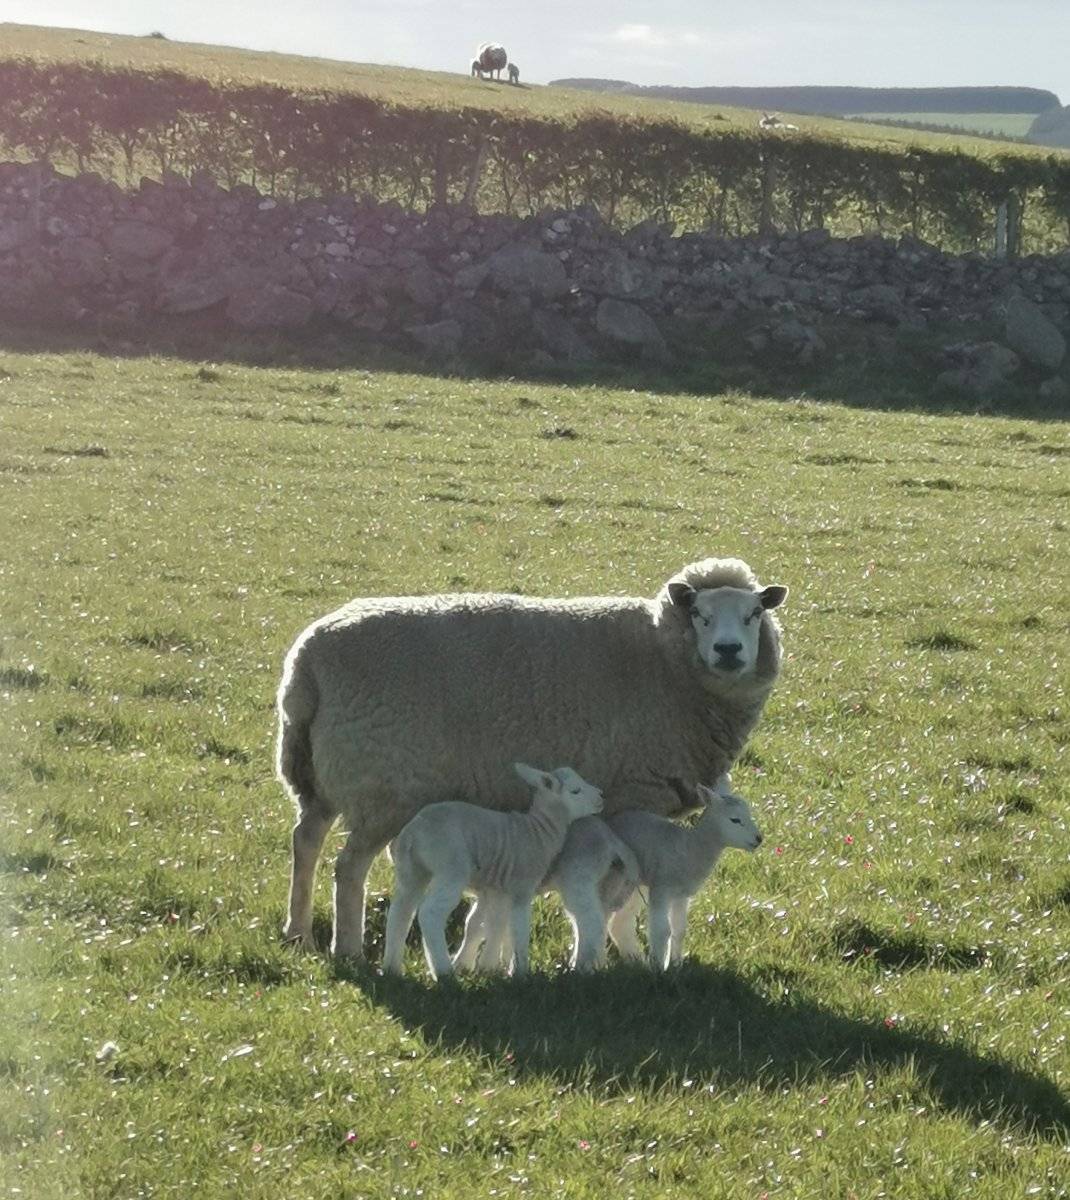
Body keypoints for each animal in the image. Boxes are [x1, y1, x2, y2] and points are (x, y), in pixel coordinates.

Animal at [381, 763, 602, 979]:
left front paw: (487, 966)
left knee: (400, 912)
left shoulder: (497, 889)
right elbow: (519, 927)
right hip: (451, 868)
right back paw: (443, 972)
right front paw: (519, 970)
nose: (601, 797)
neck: (539, 830)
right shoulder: (522, 886)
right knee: (430, 912)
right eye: (575, 790)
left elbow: (492, 924)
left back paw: (391, 969)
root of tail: (413, 833)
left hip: (411, 870)